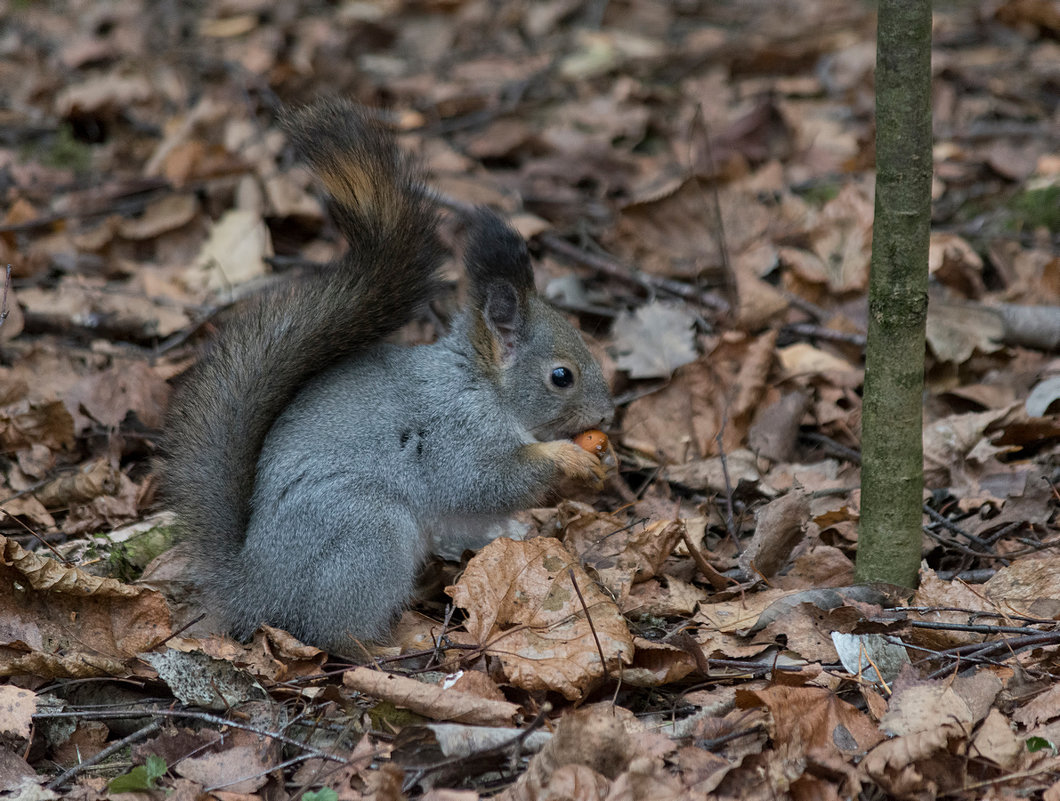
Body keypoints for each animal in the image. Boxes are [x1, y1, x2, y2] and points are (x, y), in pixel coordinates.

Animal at [162, 98, 619, 656]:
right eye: (561, 376)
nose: (607, 415)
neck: (483, 387)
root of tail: (258, 590)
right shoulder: (456, 433)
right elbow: (482, 482)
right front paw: (567, 458)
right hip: (369, 534)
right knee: (332, 634)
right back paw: (385, 648)